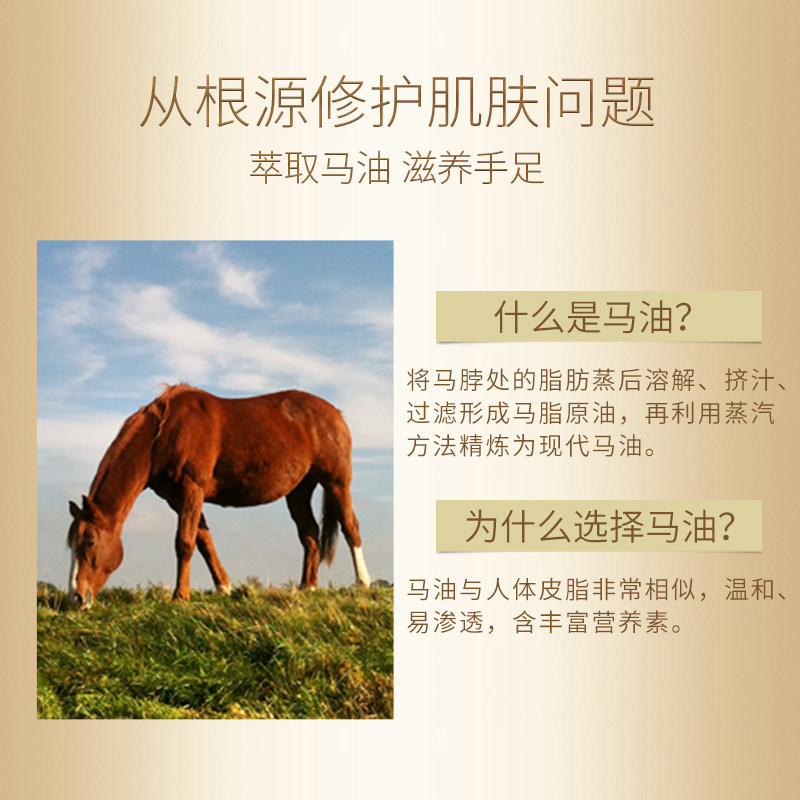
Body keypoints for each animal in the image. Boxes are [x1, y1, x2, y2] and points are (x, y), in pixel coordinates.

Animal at [67, 384, 371, 609]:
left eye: (90, 541)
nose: (76, 598)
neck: (166, 432)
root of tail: (335, 413)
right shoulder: (178, 498)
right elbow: (204, 541)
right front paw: (224, 586)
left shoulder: (192, 488)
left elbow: (185, 542)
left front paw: (180, 597)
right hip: (298, 491)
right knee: (309, 534)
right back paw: (308, 587)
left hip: (336, 483)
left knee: (350, 526)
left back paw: (363, 582)